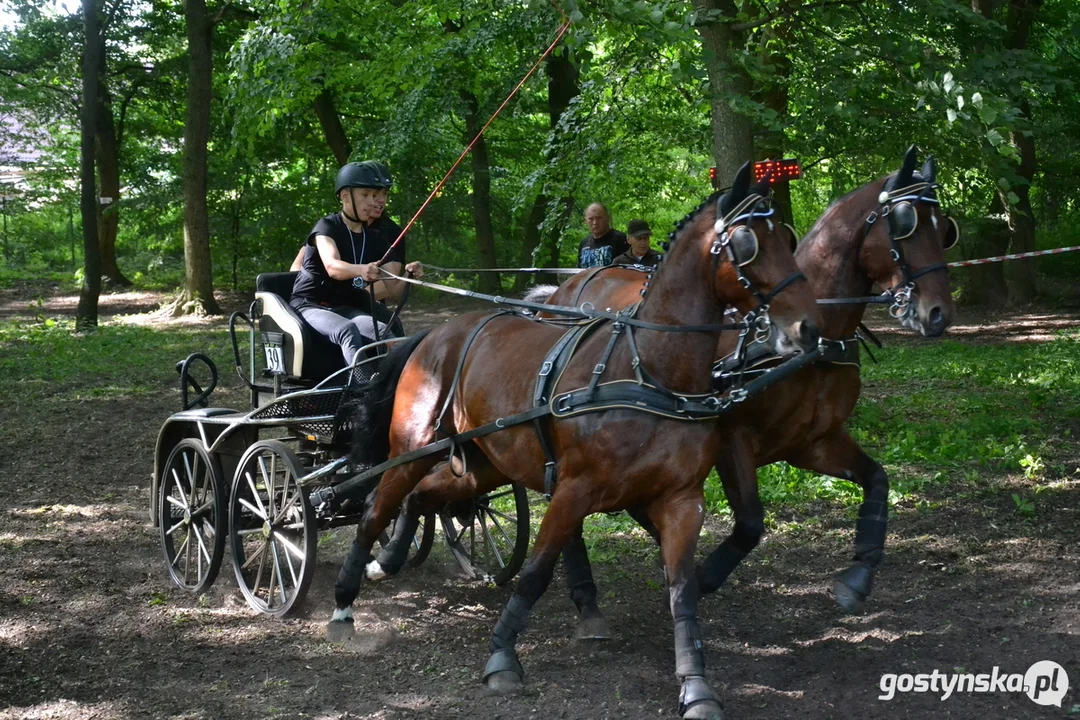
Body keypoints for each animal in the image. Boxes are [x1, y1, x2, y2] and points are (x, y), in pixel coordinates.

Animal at [332, 165, 820, 720]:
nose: (808, 325)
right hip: (413, 446)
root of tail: (431, 337)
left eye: (787, 238)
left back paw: (390, 557)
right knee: (377, 505)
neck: (649, 371)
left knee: (424, 496)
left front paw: (696, 687)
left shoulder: (681, 500)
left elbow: (682, 592)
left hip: (484, 463)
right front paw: (502, 658)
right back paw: (344, 602)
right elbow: (537, 572)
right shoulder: (573, 488)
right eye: (747, 243)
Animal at [378, 143, 954, 639]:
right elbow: (749, 523)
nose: (937, 313)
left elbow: (876, 480)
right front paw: (704, 578)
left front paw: (857, 579)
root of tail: (563, 289)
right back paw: (583, 599)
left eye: (944, 229)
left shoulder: (812, 442)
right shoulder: (732, 438)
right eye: (905, 224)